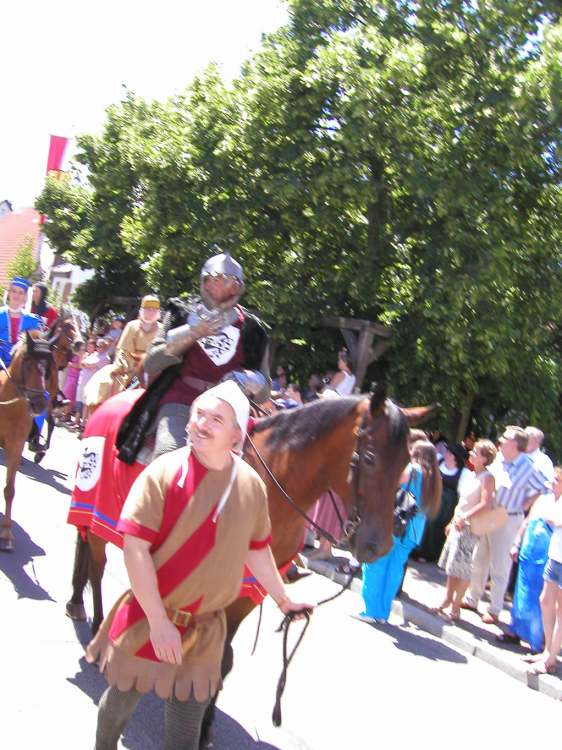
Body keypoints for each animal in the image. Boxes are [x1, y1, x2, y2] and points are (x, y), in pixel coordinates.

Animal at [0, 332, 57, 556]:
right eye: (26, 360)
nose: (40, 403)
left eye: (47, 366)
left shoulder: (15, 449)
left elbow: (10, 490)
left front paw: (6, 535)